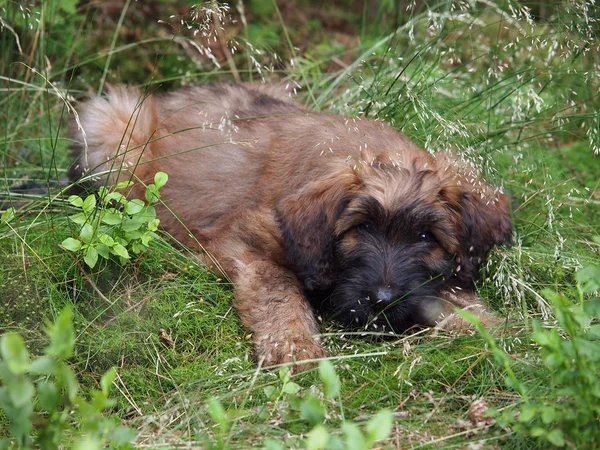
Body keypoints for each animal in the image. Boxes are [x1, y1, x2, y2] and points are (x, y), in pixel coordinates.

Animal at [69, 84, 510, 372]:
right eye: (361, 227)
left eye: (425, 238)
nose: (382, 301)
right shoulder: (244, 241)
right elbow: (279, 290)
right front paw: (294, 346)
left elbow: (449, 296)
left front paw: (494, 328)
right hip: (116, 132)